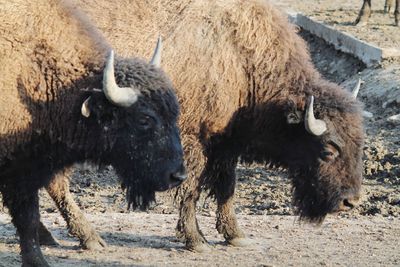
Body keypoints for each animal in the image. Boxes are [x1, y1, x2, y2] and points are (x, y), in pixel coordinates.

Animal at [0, 1, 186, 266]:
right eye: (144, 119)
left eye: (175, 113)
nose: (177, 176)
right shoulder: (20, 171)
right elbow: (28, 218)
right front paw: (37, 260)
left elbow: (30, 215)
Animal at [41, 0, 366, 253]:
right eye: (328, 150)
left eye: (360, 144)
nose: (350, 201)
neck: (238, 53)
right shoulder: (192, 139)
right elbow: (191, 188)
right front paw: (196, 240)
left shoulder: (225, 144)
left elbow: (226, 187)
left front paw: (236, 236)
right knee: (56, 182)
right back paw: (89, 239)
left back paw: (52, 237)